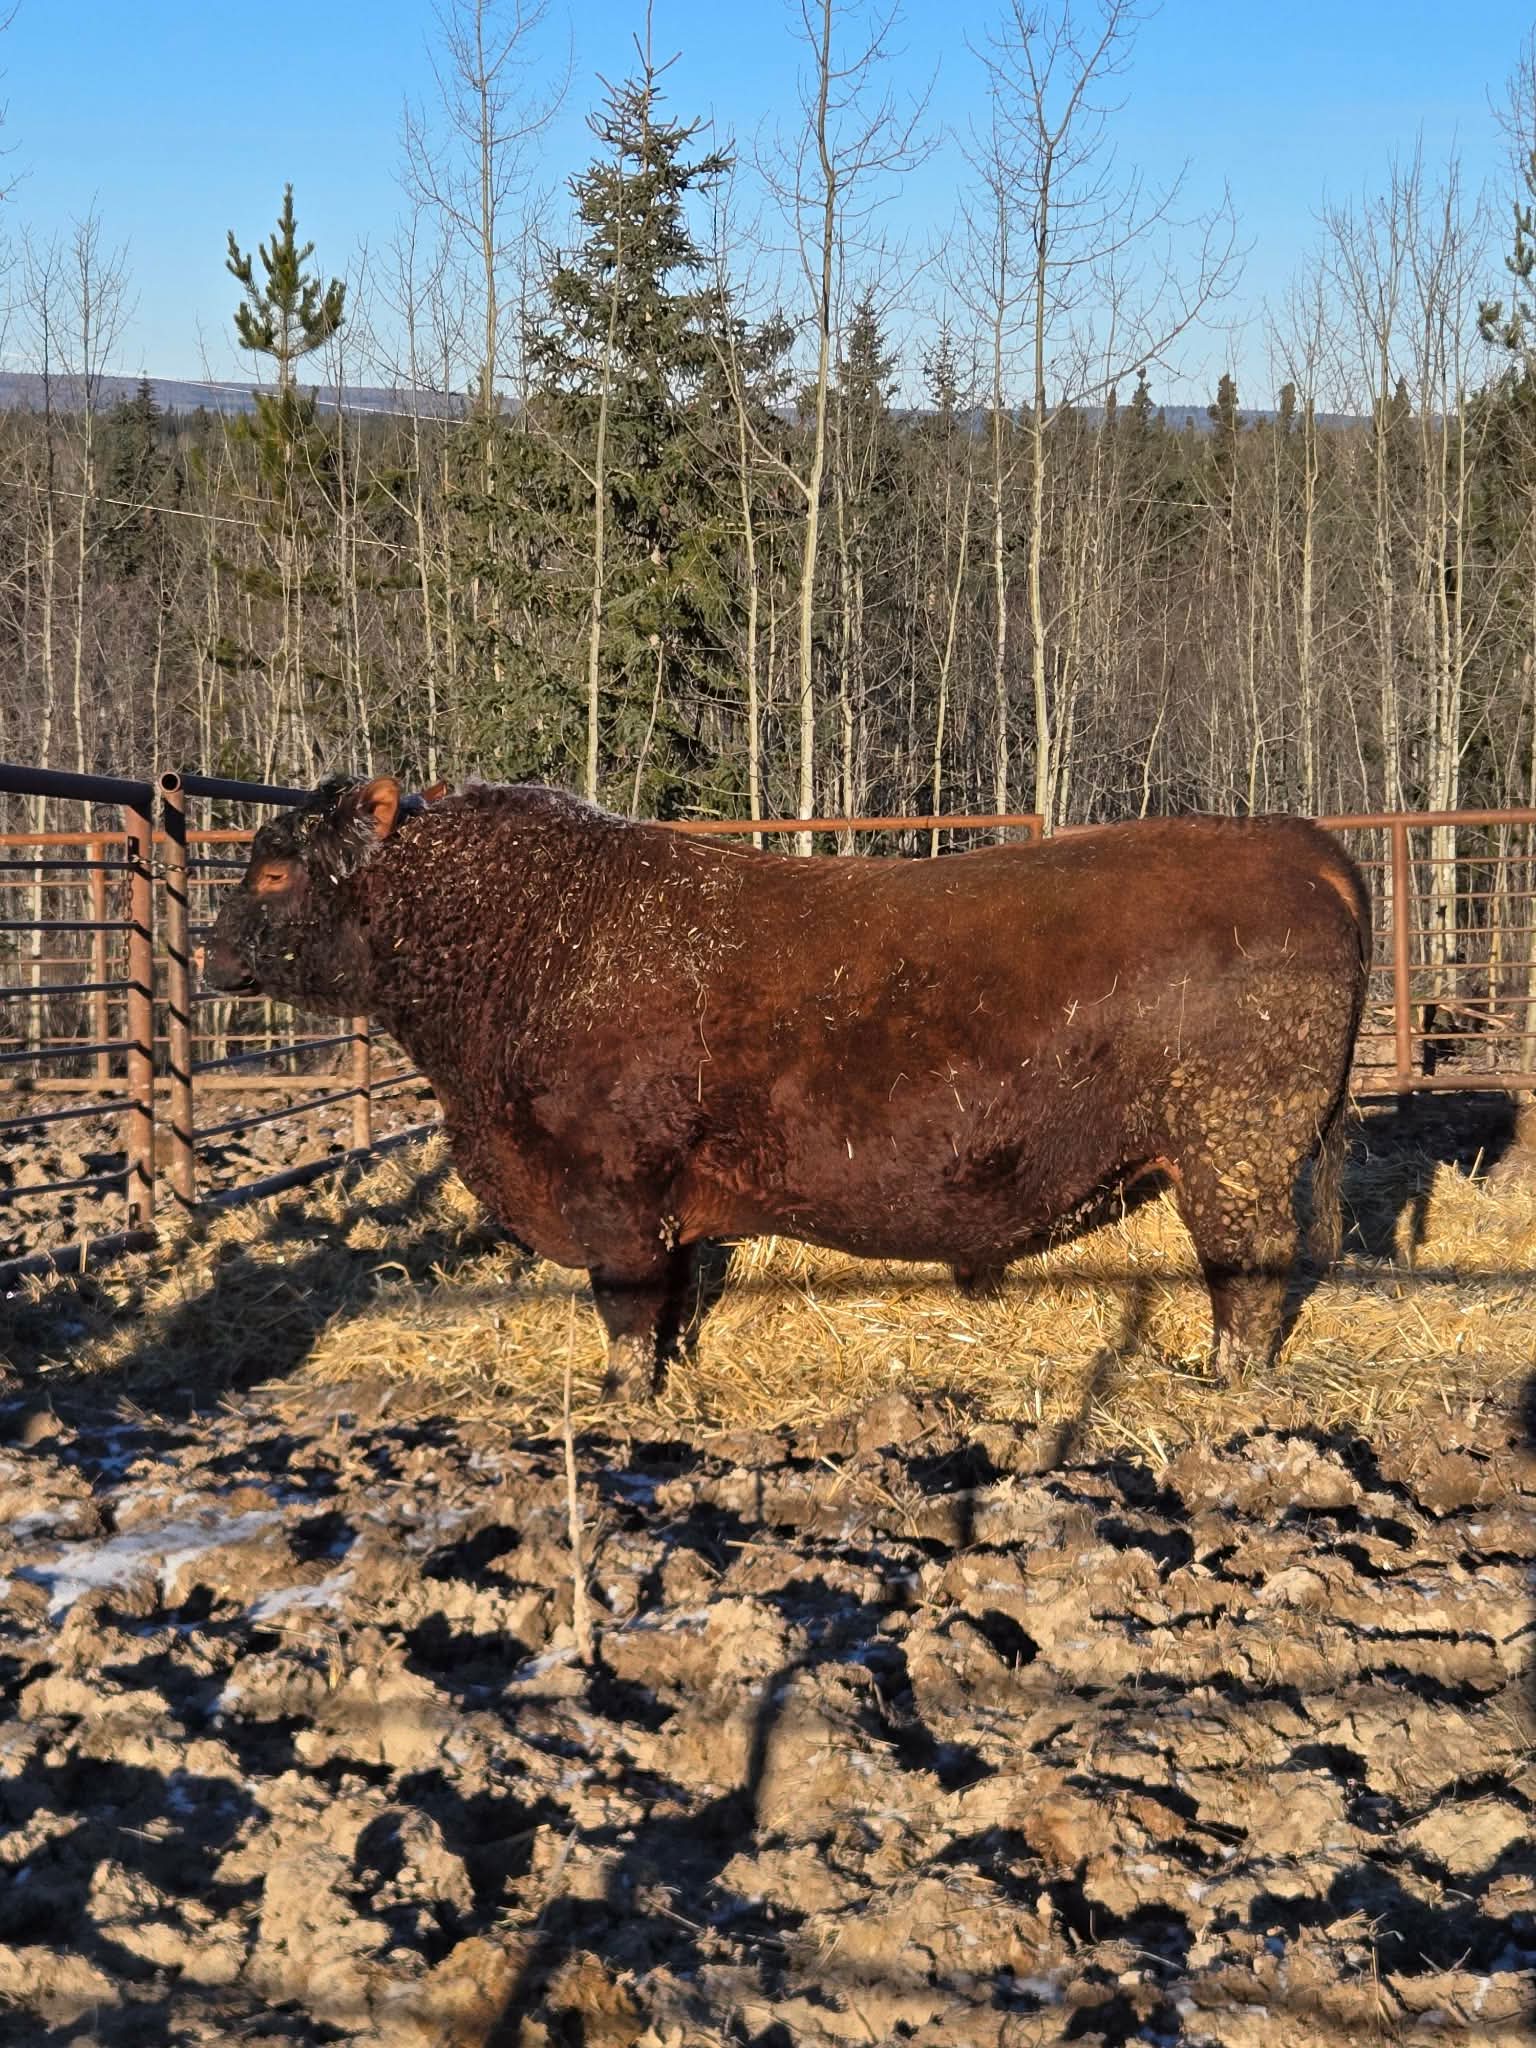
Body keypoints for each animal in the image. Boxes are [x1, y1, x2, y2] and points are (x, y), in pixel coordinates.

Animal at [204, 777, 1370, 1393]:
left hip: (1235, 1152)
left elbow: (627, 1302)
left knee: (1249, 1272)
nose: (211, 953)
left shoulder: (610, 1186)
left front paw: (622, 1392)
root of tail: (1289, 840)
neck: (528, 939)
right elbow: (672, 1295)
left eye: (275, 870)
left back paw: (1225, 1377)